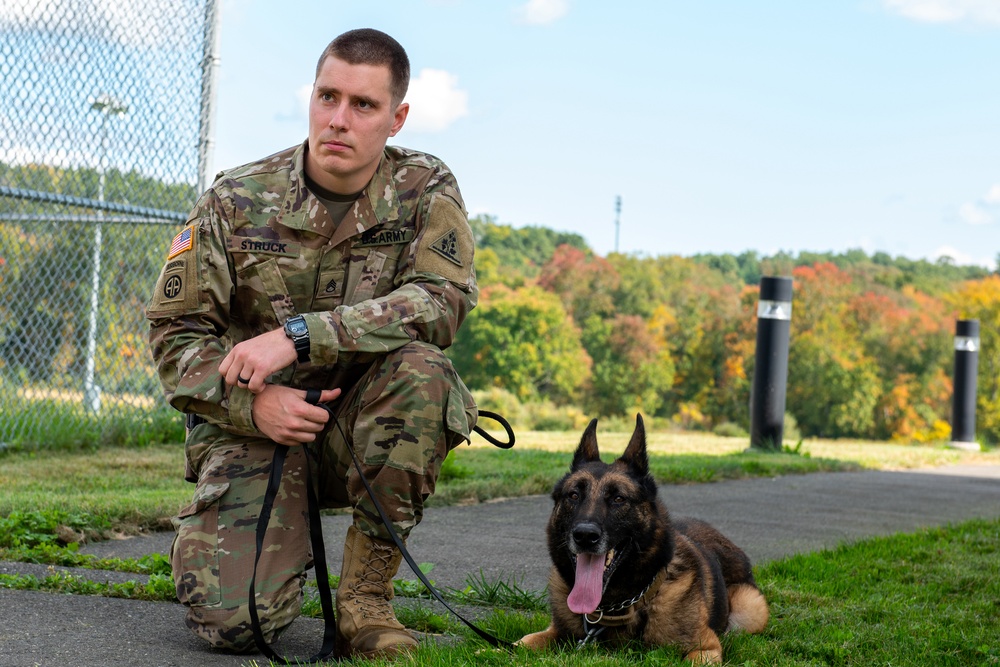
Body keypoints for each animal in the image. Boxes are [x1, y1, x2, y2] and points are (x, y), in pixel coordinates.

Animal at [520, 418, 768, 664]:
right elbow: (523, 643)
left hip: (750, 610)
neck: (614, 607)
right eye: (573, 495)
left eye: (619, 499)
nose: (585, 536)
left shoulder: (705, 649)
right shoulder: (549, 634)